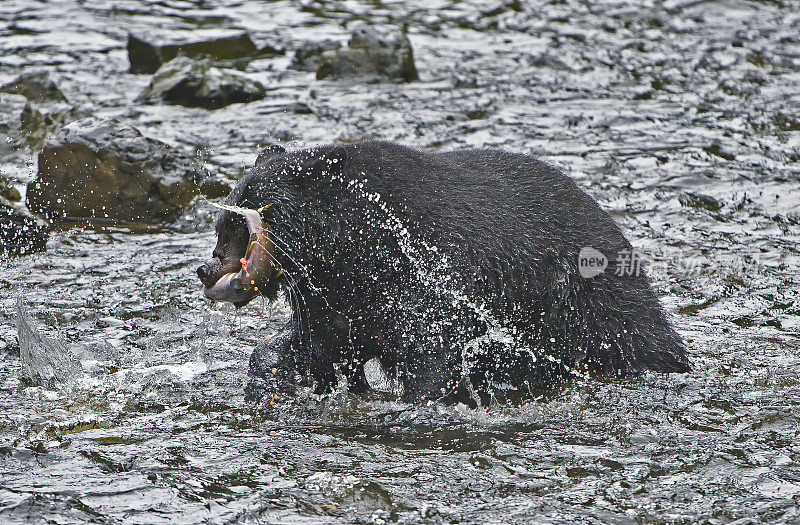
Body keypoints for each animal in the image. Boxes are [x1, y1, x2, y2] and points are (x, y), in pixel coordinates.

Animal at [198, 141, 688, 404]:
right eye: (222, 226)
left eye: (239, 224)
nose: (206, 270)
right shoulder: (335, 296)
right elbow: (312, 345)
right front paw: (268, 378)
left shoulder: (422, 272)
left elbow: (431, 346)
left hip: (589, 301)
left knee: (634, 335)